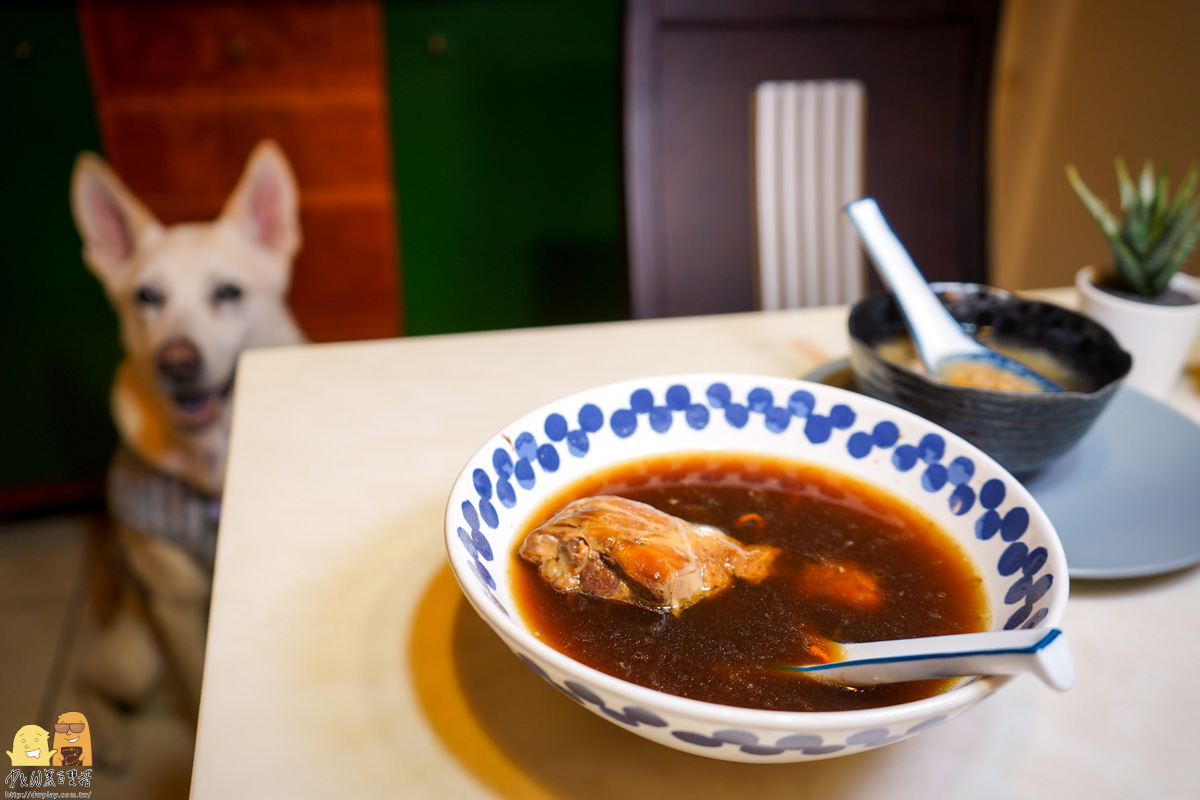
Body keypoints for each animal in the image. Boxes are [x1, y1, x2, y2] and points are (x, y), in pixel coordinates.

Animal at [68, 142, 307, 762]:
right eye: (147, 296)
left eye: (228, 292)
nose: (176, 362)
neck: (214, 461)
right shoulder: (174, 607)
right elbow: (196, 684)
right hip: (138, 655)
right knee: (86, 673)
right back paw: (104, 736)